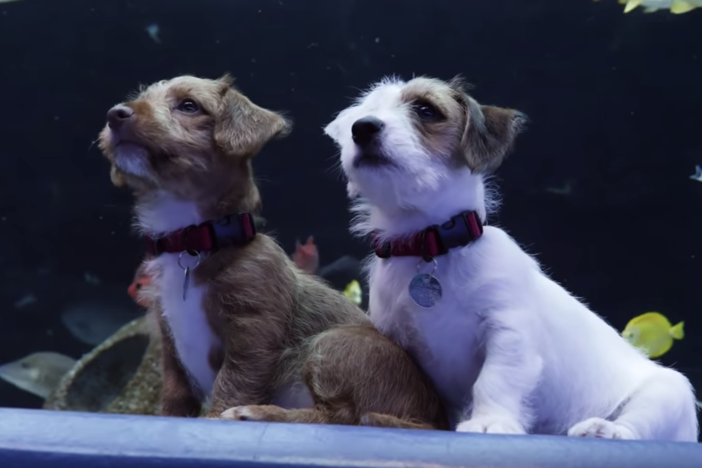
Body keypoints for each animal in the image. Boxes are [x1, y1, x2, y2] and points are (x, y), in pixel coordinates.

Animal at [97, 74, 452, 432]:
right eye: (143, 97)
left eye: (188, 106)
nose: (115, 114)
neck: (193, 242)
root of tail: (429, 420)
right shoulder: (169, 341)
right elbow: (174, 396)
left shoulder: (253, 331)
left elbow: (234, 381)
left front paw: (217, 417)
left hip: (334, 344)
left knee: (339, 415)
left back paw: (259, 412)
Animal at [324, 75, 700, 440]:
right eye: (364, 113)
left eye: (426, 110)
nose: (363, 127)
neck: (429, 244)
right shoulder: (397, 339)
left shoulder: (508, 331)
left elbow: (494, 380)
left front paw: (489, 422)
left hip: (667, 393)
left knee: (637, 427)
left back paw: (603, 429)